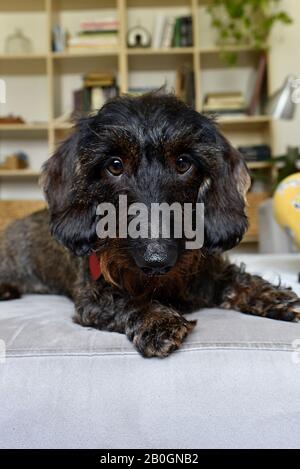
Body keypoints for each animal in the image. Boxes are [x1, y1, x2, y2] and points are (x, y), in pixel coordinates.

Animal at [0, 93, 300, 356]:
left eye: (183, 163)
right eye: (115, 165)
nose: (156, 260)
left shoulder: (208, 273)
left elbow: (238, 279)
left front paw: (274, 296)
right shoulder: (92, 297)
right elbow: (124, 300)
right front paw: (156, 319)